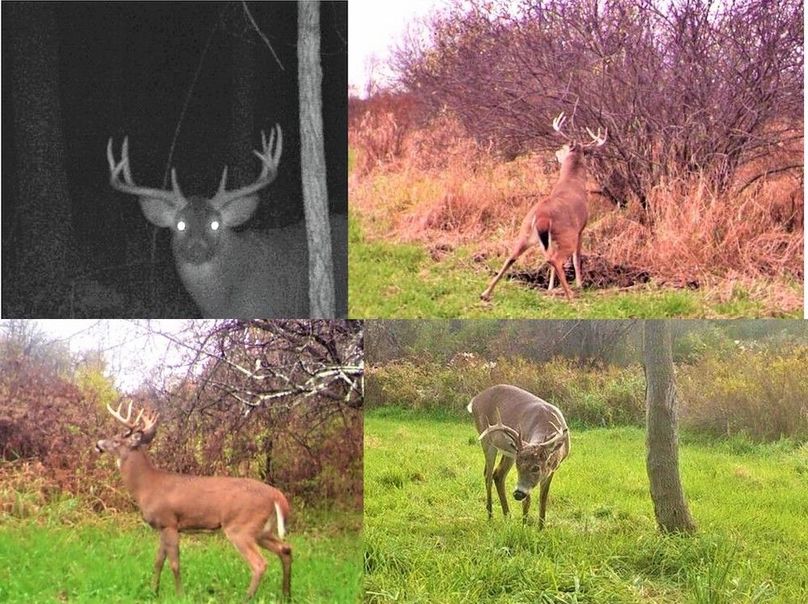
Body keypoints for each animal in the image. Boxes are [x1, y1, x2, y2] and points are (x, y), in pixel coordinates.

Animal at [94, 401, 292, 600]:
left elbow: (174, 563)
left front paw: (179, 595)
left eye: (117, 439)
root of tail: (276, 495)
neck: (147, 486)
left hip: (240, 527)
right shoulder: (162, 527)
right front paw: (153, 592)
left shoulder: (169, 522)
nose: (98, 444)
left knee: (260, 563)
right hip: (261, 530)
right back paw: (286, 595)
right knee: (286, 549)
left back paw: (246, 598)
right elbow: (158, 561)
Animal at [468, 384, 570, 528]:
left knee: (498, 474)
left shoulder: (553, 469)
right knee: (488, 475)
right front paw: (524, 525)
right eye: (518, 466)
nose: (518, 493)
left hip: (509, 452)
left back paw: (507, 516)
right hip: (487, 441)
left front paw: (541, 527)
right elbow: (528, 500)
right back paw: (490, 515)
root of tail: (475, 399)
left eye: (536, 467)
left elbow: (543, 499)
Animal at [480, 112, 607, 301]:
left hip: (526, 232)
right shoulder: (581, 228)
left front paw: (550, 287)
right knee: (554, 259)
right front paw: (579, 284)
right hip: (567, 235)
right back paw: (570, 294)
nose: (557, 152)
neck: (572, 181)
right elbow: (577, 258)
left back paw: (485, 293)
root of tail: (540, 217)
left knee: (512, 257)